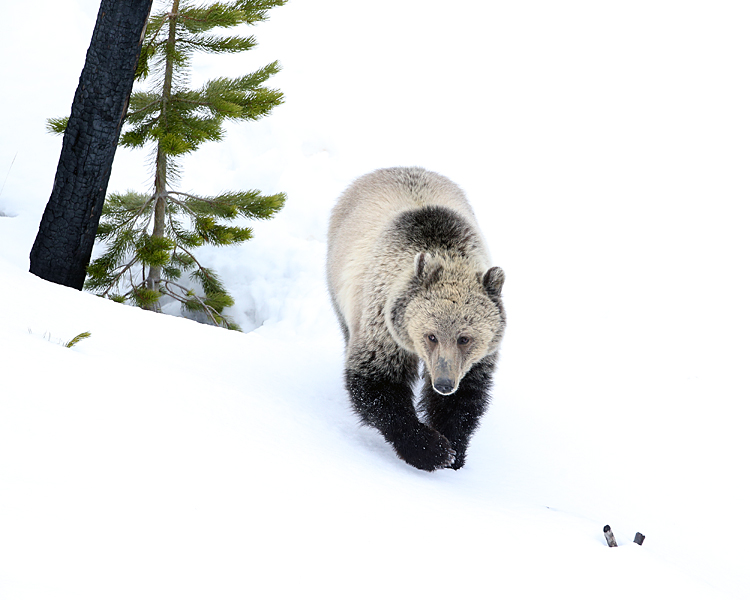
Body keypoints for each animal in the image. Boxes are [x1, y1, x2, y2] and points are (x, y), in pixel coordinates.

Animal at [328, 166, 508, 472]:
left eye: (465, 338)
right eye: (431, 335)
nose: (444, 384)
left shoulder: (474, 360)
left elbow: (464, 399)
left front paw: (454, 449)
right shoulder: (383, 328)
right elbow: (377, 386)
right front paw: (431, 449)